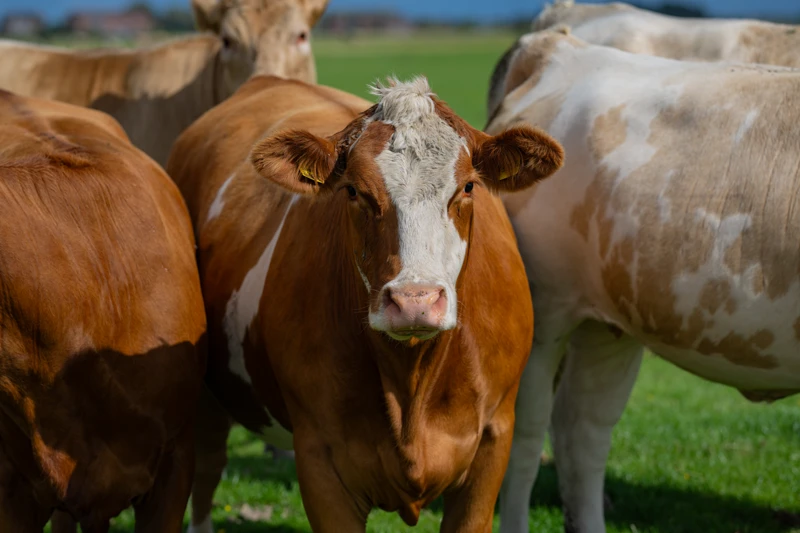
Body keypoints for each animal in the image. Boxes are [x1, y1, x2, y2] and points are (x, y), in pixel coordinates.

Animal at [167, 74, 564, 533]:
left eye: (467, 187)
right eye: (354, 191)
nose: (414, 300)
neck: (411, 387)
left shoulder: (493, 445)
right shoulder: (320, 463)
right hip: (205, 399)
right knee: (208, 469)